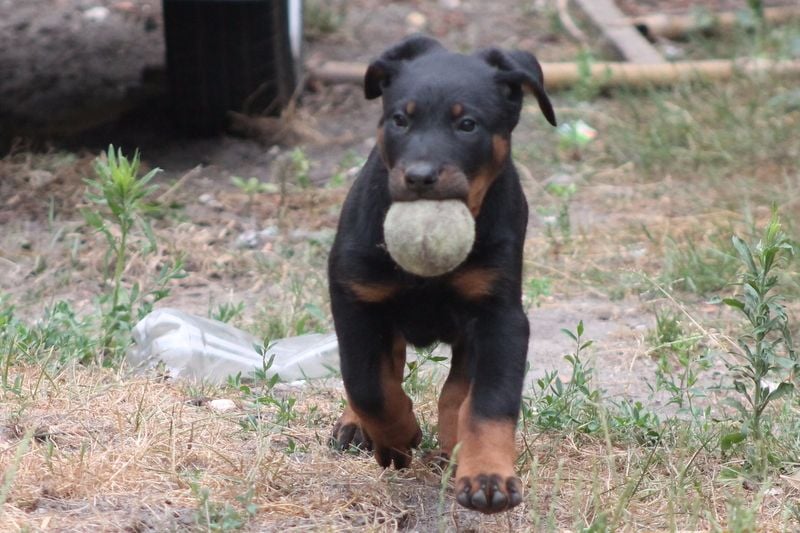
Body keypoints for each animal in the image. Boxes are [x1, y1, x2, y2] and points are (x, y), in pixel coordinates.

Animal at [324, 35, 556, 512]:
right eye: (400, 120)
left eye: (467, 125)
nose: (419, 176)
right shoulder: (354, 297)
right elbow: (367, 384)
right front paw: (396, 438)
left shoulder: (500, 316)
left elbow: (487, 400)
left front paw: (487, 475)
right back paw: (358, 425)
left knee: (457, 388)